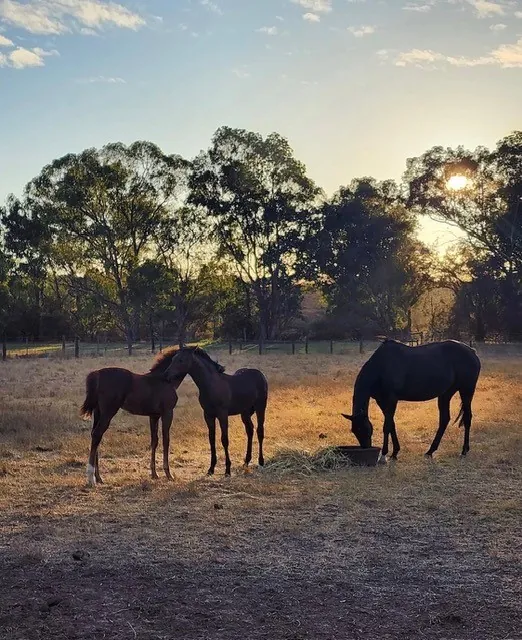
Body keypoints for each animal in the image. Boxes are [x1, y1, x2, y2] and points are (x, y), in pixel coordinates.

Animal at [80, 348, 186, 486]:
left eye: (181, 359)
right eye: (176, 359)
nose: (168, 375)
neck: (162, 381)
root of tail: (97, 374)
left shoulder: (154, 416)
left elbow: (154, 441)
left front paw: (154, 474)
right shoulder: (167, 413)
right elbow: (166, 440)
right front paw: (168, 475)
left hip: (98, 412)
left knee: (95, 436)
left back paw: (98, 478)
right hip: (108, 412)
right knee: (97, 434)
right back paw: (91, 479)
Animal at [164, 346, 267, 476]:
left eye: (181, 360)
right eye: (173, 359)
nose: (166, 375)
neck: (210, 385)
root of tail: (260, 374)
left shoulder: (222, 414)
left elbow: (224, 440)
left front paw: (227, 470)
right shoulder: (208, 415)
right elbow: (211, 439)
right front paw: (211, 468)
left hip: (260, 408)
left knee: (260, 431)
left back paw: (261, 461)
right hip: (245, 412)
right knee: (250, 430)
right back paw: (246, 461)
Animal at [342, 339, 481, 460]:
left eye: (363, 429)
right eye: (354, 430)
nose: (366, 448)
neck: (381, 367)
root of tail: (472, 352)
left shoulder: (391, 399)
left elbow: (387, 426)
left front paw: (384, 454)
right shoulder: (381, 401)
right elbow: (391, 424)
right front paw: (395, 452)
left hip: (466, 390)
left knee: (467, 418)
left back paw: (464, 450)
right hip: (446, 394)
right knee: (444, 419)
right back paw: (430, 451)